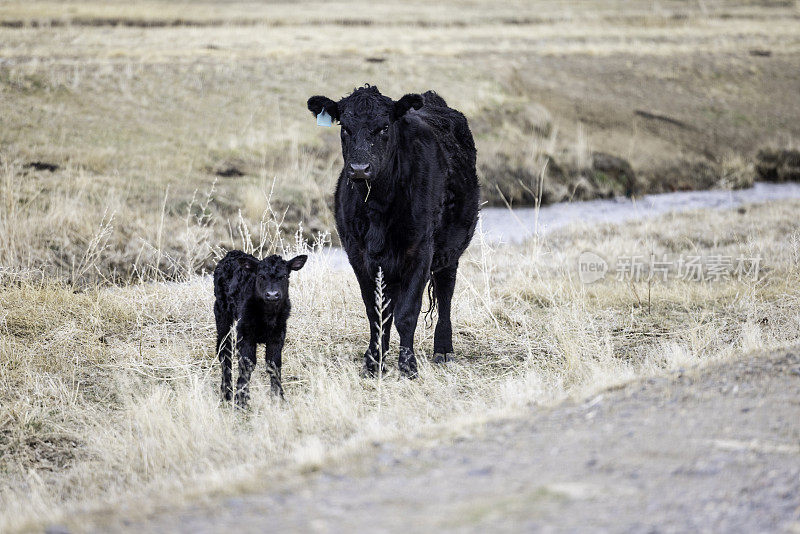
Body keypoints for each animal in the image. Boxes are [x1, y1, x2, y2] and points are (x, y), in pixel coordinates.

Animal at [214, 250, 308, 406]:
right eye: (261, 276)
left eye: (284, 276)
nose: (272, 295)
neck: (267, 317)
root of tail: (232, 253)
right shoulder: (245, 334)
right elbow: (247, 364)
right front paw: (241, 401)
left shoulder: (278, 334)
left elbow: (273, 364)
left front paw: (279, 398)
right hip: (221, 312)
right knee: (224, 351)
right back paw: (226, 394)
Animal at [308, 86, 482, 378]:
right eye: (345, 127)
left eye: (385, 127)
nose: (359, 169)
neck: (378, 205)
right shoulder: (358, 254)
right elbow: (376, 312)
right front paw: (373, 363)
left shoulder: (420, 251)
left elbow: (407, 313)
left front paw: (408, 366)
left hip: (451, 249)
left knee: (445, 292)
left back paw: (443, 350)